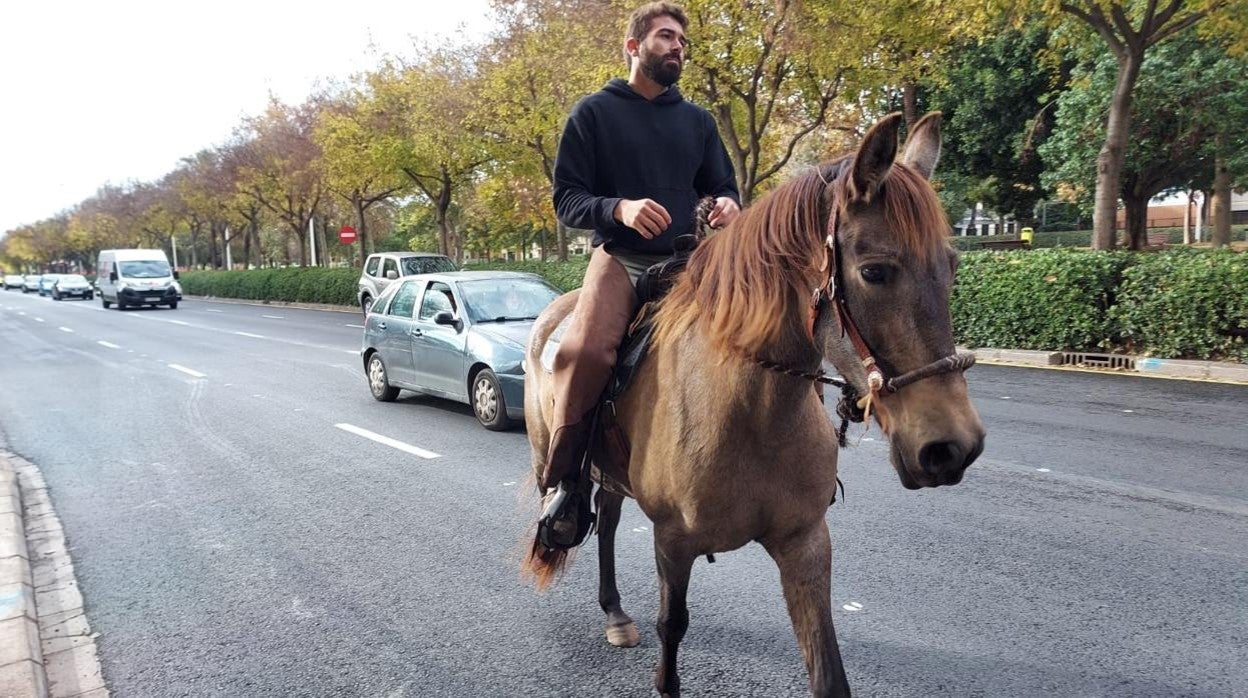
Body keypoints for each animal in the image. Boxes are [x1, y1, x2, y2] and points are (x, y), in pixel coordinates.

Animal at [519, 111, 983, 694]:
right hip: (553, 453)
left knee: (608, 519)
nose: (952, 447)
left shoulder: (805, 543)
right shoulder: (673, 542)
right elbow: (672, 635)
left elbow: (829, 672)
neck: (753, 413)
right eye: (874, 271)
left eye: (953, 267)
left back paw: (615, 612)